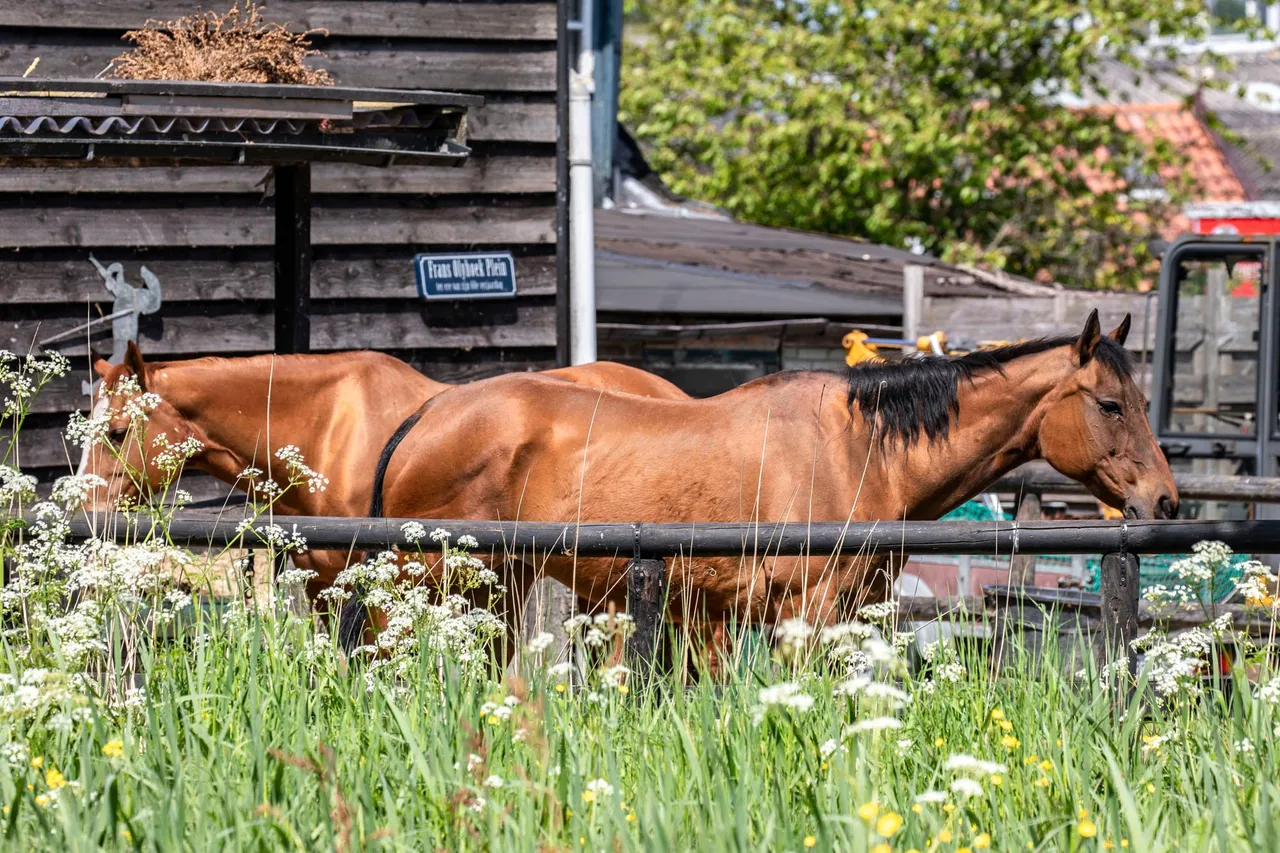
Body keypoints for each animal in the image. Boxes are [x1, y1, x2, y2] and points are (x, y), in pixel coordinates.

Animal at [346, 310, 1178, 650]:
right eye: (1110, 403)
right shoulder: (804, 615)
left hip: (501, 591)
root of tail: (426, 412)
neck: (859, 446)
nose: (1165, 500)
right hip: (432, 591)